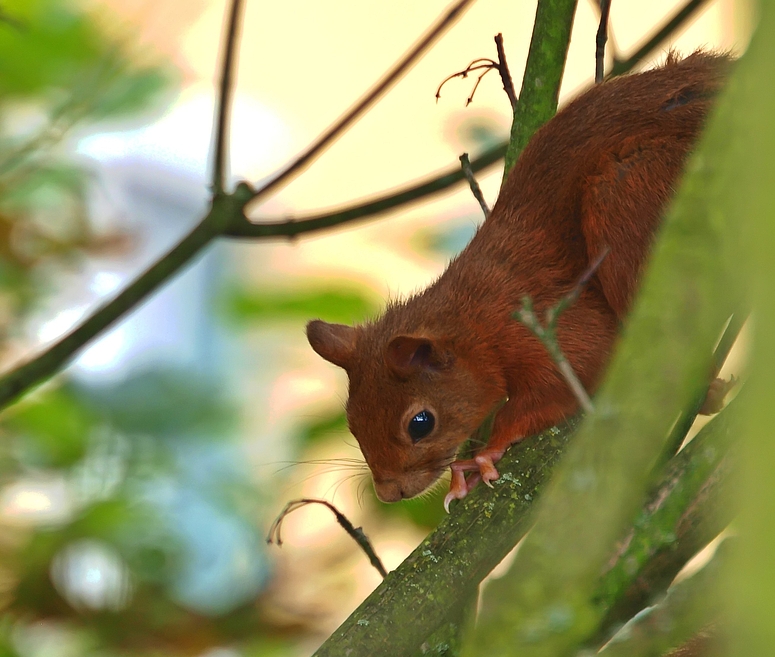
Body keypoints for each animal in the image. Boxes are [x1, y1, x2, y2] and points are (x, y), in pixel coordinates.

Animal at [306, 53, 732, 510]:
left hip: (628, 192)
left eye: (420, 423)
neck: (473, 318)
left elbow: (571, 375)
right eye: (352, 422)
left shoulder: (547, 326)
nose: (390, 493)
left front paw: (485, 452)